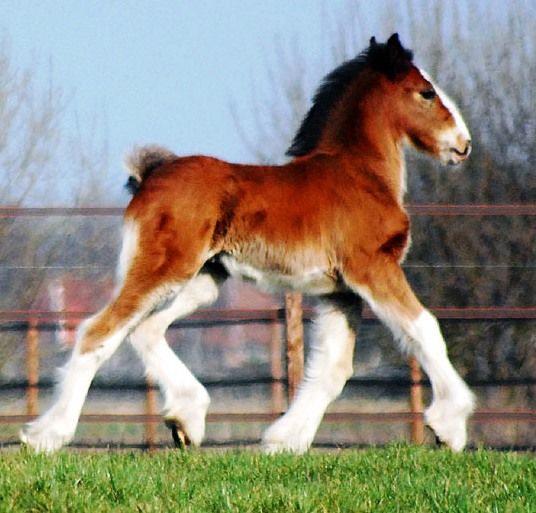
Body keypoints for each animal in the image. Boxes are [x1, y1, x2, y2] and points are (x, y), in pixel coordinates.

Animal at [19, 34, 474, 452]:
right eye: (426, 92)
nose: (463, 144)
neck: (358, 174)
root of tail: (151, 174)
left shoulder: (340, 292)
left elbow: (333, 370)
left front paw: (284, 441)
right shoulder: (373, 268)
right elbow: (425, 328)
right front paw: (449, 426)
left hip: (204, 280)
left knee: (146, 329)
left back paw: (186, 419)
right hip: (164, 269)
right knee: (99, 331)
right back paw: (46, 435)